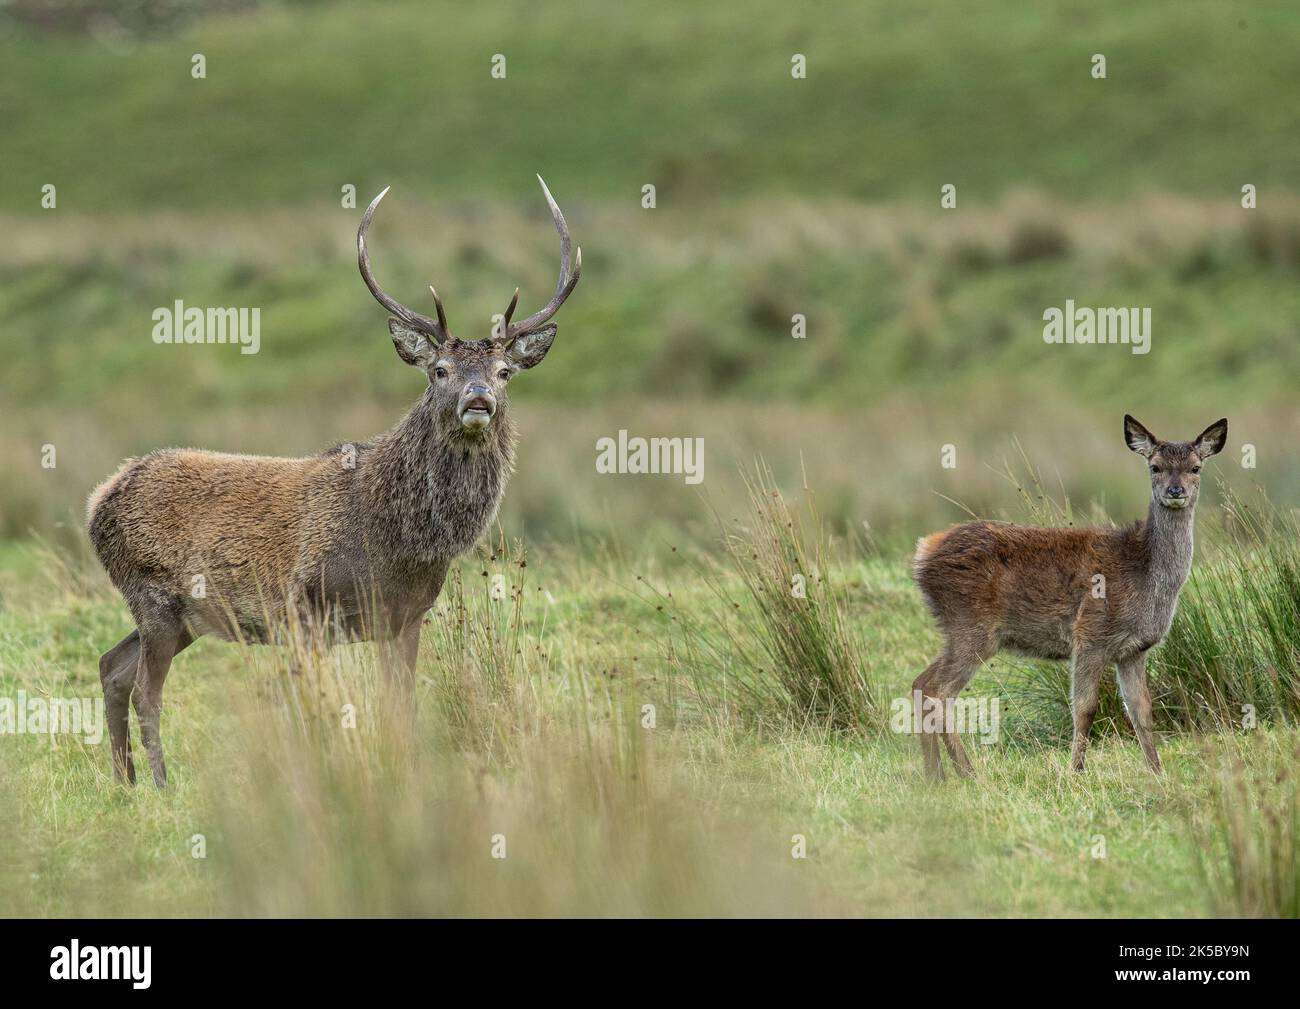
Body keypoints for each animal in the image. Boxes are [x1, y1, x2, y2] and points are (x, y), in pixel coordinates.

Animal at [87, 175, 585, 790]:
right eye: (439, 370)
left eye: (504, 371)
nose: (478, 400)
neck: (397, 540)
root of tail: (98, 502)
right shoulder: (307, 608)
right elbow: (321, 706)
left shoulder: (405, 619)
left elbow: (399, 705)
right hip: (154, 595)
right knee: (145, 690)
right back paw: (160, 783)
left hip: (183, 617)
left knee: (112, 665)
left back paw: (125, 780)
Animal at [909, 418, 1222, 780]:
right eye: (1155, 466)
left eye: (1195, 468)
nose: (1175, 491)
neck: (1144, 572)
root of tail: (923, 552)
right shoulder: (1089, 636)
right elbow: (1085, 709)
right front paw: (1076, 771)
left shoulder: (1134, 650)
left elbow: (1142, 711)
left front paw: (1157, 773)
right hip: (971, 626)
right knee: (938, 691)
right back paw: (959, 772)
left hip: (960, 630)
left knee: (921, 684)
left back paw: (941, 774)